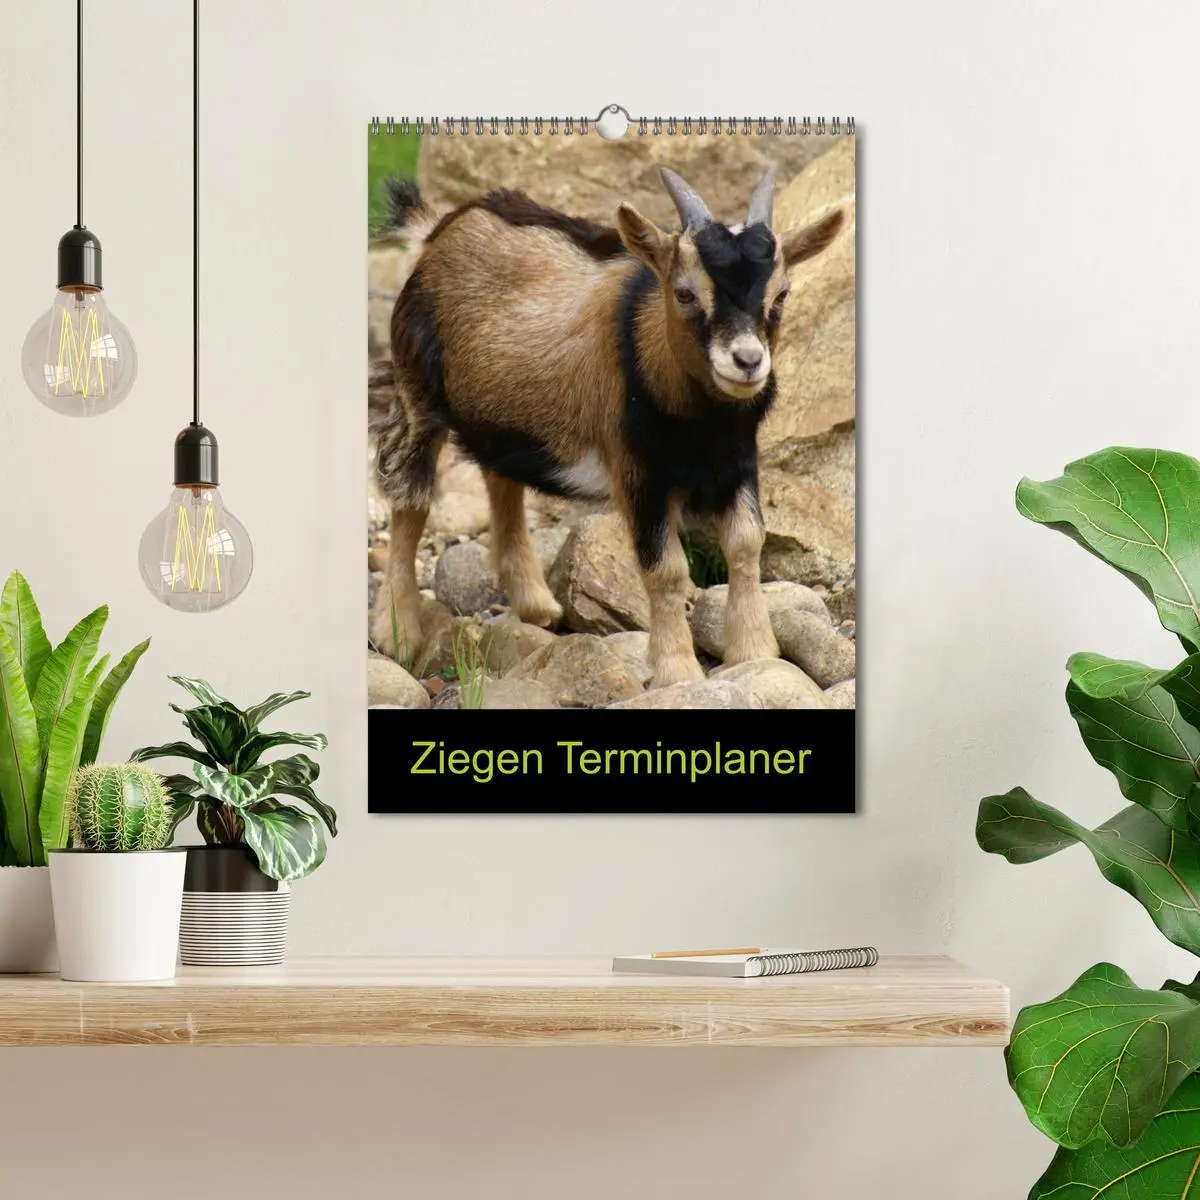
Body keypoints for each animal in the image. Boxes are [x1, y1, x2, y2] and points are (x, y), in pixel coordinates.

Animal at [369, 168, 844, 688]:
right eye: (684, 293)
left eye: (781, 294)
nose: (747, 361)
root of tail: (438, 230)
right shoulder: (639, 472)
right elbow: (666, 570)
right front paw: (676, 671)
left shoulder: (738, 461)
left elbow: (745, 544)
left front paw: (754, 652)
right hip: (417, 389)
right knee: (410, 498)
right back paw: (397, 632)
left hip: (505, 414)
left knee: (501, 479)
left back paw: (535, 605)